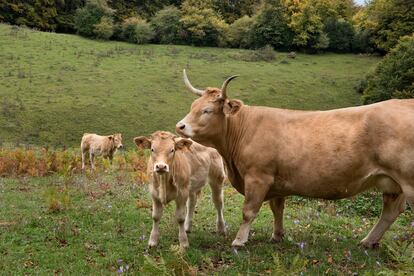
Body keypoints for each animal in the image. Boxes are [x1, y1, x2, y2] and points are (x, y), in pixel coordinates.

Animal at [175, 69, 414, 248]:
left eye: (207, 110)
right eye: (192, 107)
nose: (180, 126)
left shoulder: (258, 177)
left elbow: (248, 211)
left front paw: (239, 240)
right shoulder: (276, 181)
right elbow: (277, 208)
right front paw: (277, 235)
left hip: (408, 182)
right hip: (392, 183)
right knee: (391, 211)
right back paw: (368, 242)